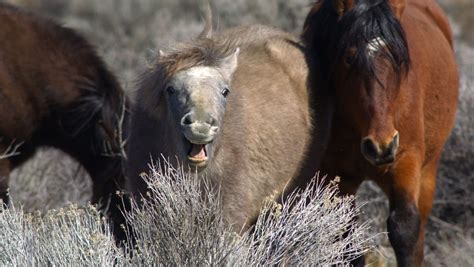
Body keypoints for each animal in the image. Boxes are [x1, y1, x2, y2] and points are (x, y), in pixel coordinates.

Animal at [304, 0, 460, 266]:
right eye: (349, 58)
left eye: (398, 59)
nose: (381, 146)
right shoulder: (334, 175)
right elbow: (345, 238)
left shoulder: (405, 161)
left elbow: (405, 228)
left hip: (428, 170)